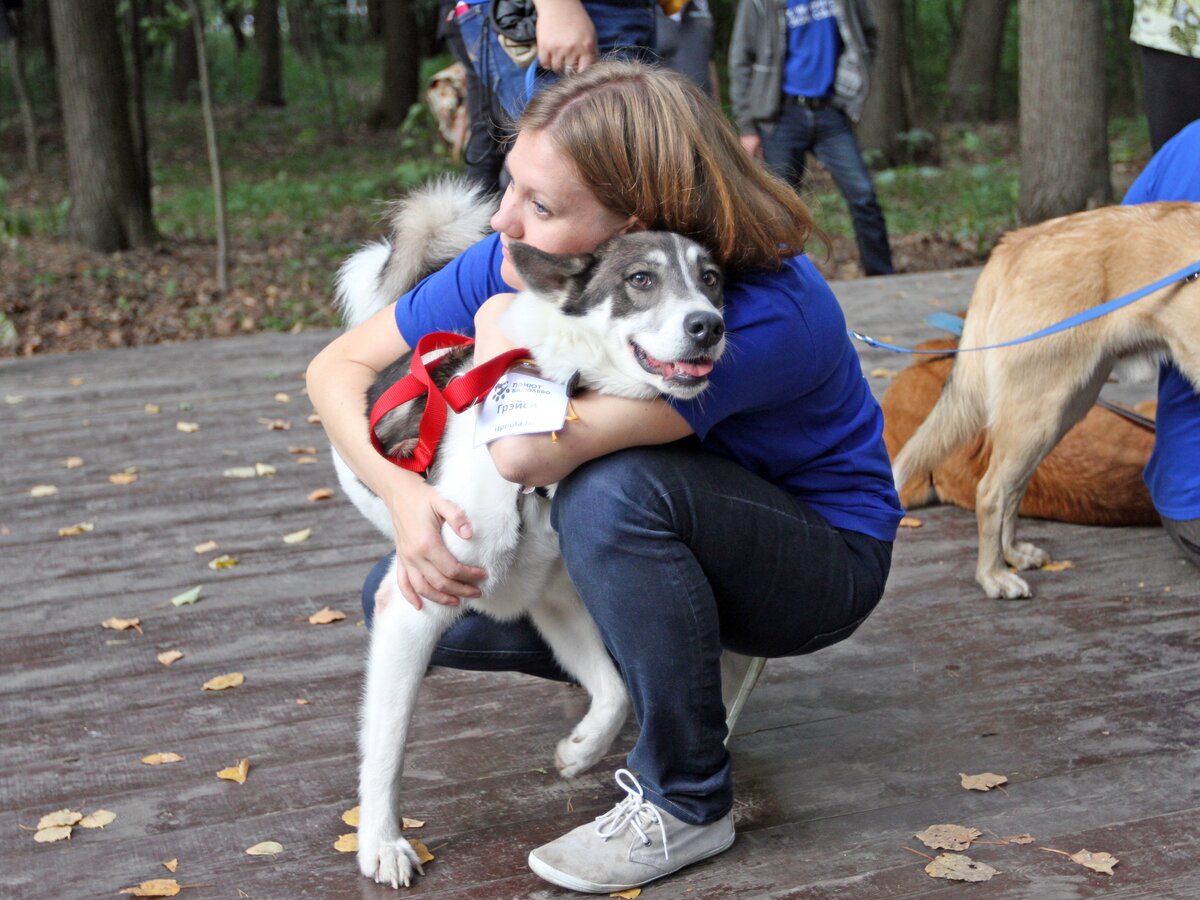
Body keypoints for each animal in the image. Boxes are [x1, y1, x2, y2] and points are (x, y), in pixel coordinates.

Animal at [328, 177, 724, 888]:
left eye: (711, 280)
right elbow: (387, 744)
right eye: (642, 279)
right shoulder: (413, 606)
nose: (711, 325)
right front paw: (380, 841)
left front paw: (581, 750)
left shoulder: (556, 599)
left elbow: (614, 689)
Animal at [892, 202, 1200, 600]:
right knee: (991, 491)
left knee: (1014, 488)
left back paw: (1011, 553)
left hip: (1061, 412)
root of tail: (1014, 243)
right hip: (1040, 414)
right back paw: (993, 575)